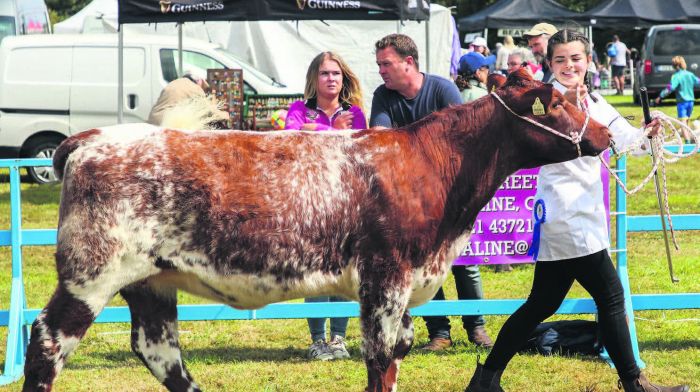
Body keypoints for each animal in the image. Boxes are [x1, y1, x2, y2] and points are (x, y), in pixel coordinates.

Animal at [24, 70, 608, 392]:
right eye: (557, 103)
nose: (603, 134)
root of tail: (92, 137)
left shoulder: (407, 286)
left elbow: (400, 349)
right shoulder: (385, 279)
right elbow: (380, 359)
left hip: (151, 281)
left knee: (158, 352)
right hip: (91, 272)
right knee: (48, 339)